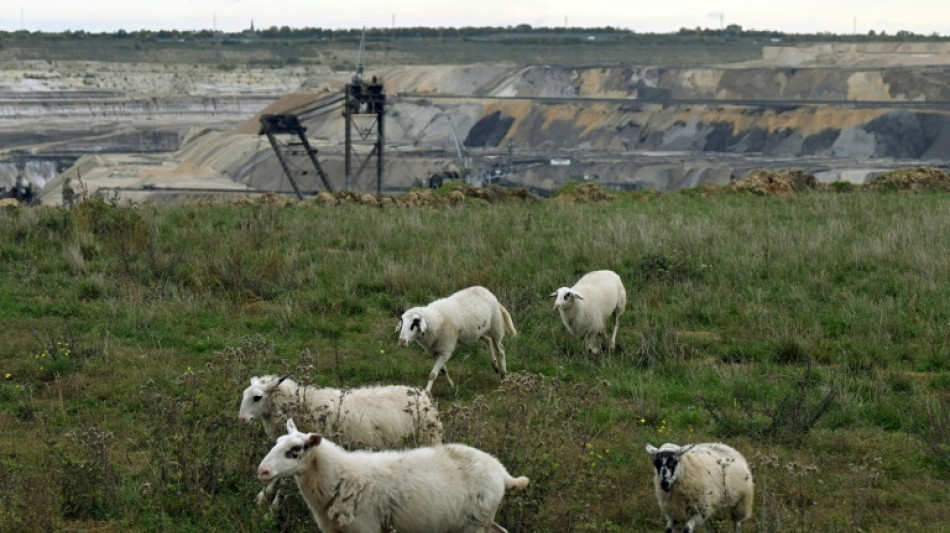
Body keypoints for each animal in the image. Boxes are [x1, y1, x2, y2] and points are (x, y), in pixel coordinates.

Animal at [256, 420, 532, 532]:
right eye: (277, 442)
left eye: (294, 450)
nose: (262, 471)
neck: (339, 476)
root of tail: (501, 471)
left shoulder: (366, 528)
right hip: (477, 521)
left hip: (474, 524)